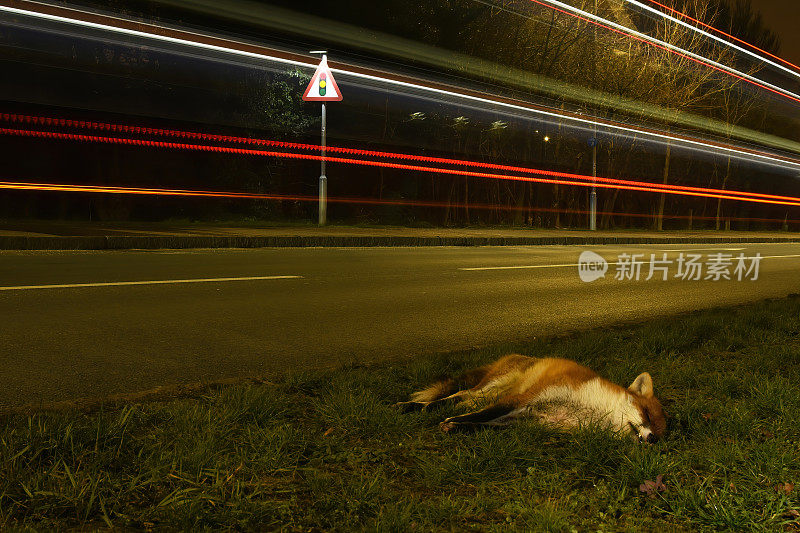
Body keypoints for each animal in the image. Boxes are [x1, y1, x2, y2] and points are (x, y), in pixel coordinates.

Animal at [396, 354, 664, 440]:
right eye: (647, 414)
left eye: (661, 436)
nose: (651, 440)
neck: (586, 407)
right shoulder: (525, 399)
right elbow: (483, 415)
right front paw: (451, 422)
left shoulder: (532, 421)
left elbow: (482, 425)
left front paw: (456, 428)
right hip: (492, 387)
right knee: (459, 395)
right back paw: (414, 407)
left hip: (488, 393)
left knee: (463, 400)